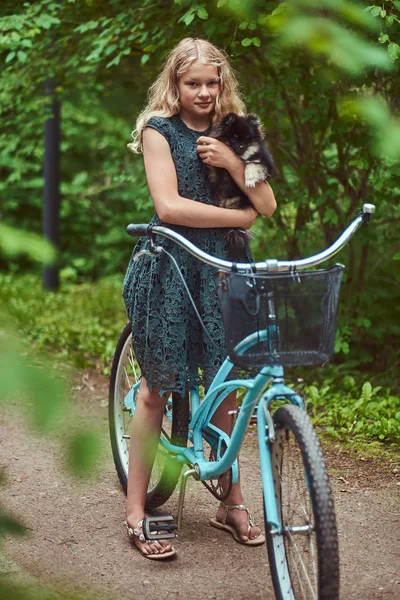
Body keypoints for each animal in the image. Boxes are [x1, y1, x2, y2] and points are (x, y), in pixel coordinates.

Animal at [206, 113, 276, 262]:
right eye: (234, 138)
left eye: (247, 139)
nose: (242, 146)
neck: (239, 156)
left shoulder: (265, 163)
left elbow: (251, 165)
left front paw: (249, 179)